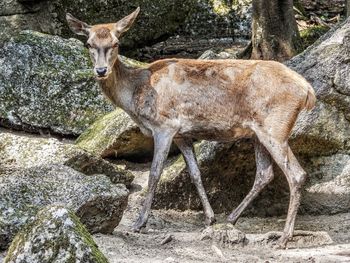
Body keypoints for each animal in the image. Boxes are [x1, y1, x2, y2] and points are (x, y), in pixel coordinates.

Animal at [66, 6, 318, 250]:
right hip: (259, 133)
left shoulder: (164, 126)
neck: (136, 94)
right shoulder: (182, 135)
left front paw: (139, 222)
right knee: (265, 174)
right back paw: (231, 218)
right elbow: (195, 173)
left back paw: (284, 238)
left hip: (275, 128)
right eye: (88, 43)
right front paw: (210, 218)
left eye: (116, 43)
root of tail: (307, 90)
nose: (101, 71)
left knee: (296, 174)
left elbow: (154, 174)